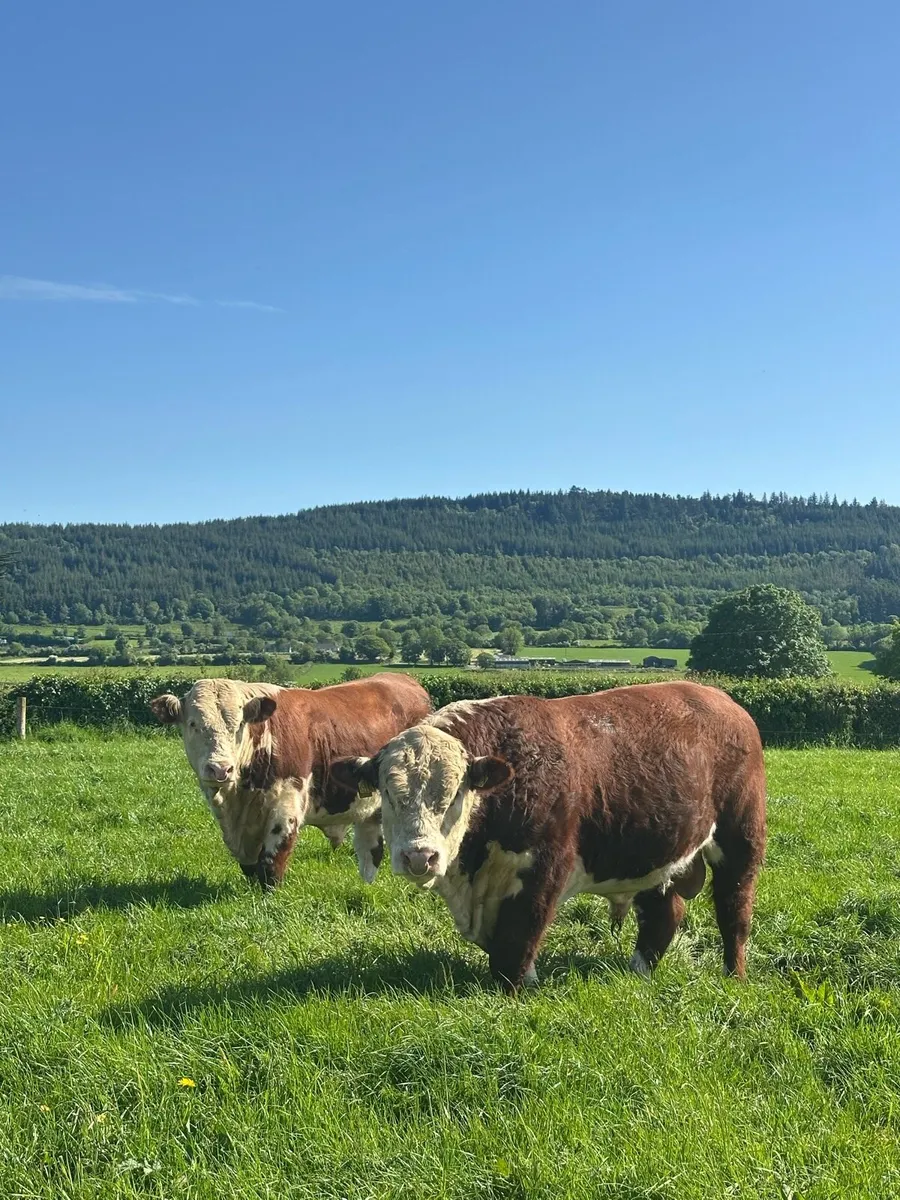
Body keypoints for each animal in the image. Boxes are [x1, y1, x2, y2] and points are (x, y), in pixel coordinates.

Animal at [331, 682, 766, 993]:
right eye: (389, 792)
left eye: (454, 793)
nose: (419, 857)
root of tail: (723, 700)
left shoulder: (544, 869)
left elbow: (517, 940)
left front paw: (517, 989)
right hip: (654, 852)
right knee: (663, 913)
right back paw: (639, 972)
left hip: (741, 839)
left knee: (734, 911)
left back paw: (734, 974)